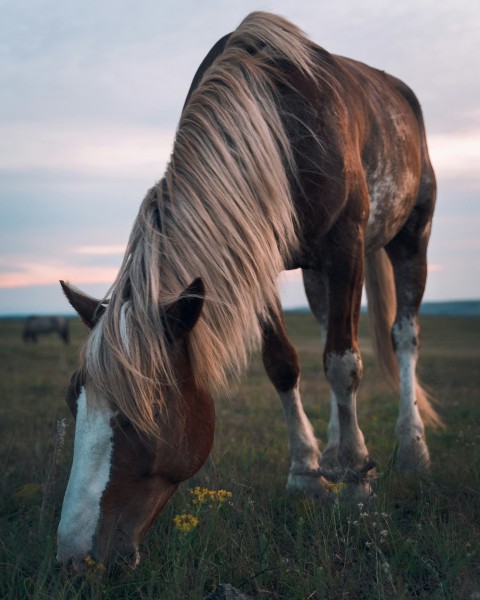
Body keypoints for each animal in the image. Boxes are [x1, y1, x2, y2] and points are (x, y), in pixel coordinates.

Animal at [54, 10, 440, 572]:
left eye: (140, 418)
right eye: (73, 401)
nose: (73, 556)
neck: (278, 124)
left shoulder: (345, 243)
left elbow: (344, 364)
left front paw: (357, 487)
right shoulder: (255, 257)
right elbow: (284, 363)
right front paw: (307, 475)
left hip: (412, 232)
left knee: (402, 336)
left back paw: (411, 451)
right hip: (317, 272)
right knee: (328, 328)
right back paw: (337, 450)